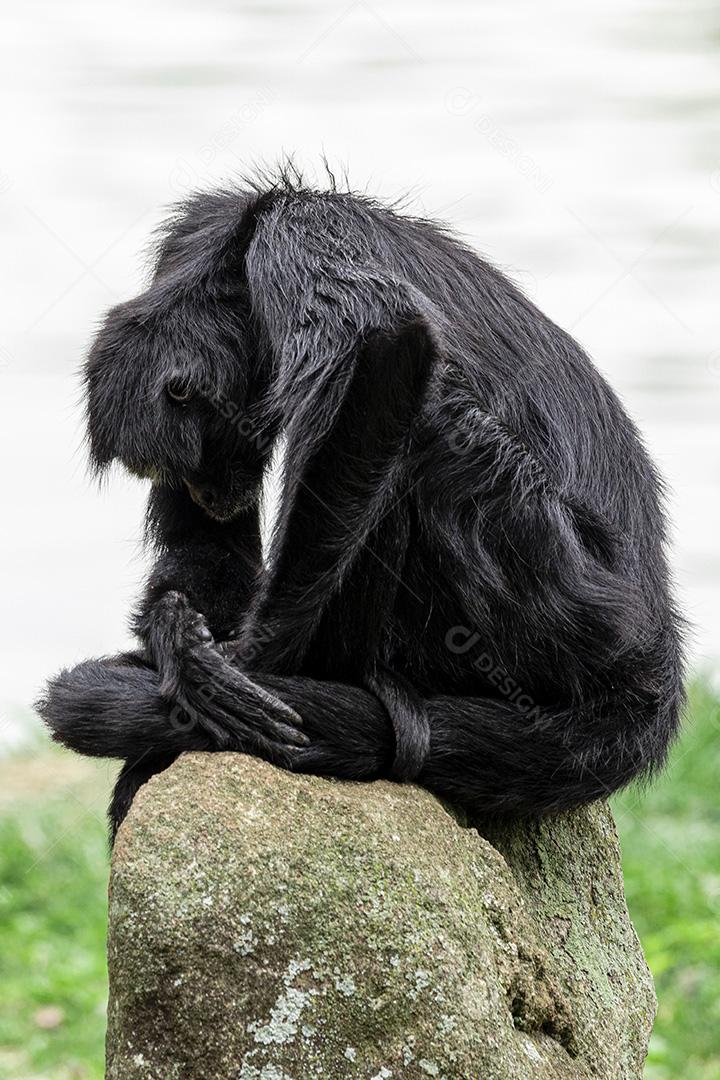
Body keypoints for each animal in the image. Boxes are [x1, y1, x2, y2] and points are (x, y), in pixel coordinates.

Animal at [37, 168, 685, 843]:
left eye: (189, 470)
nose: (209, 497)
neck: (233, 250)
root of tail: (653, 658)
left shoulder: (298, 240)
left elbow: (388, 348)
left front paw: (250, 661)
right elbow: (204, 549)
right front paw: (177, 641)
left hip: (557, 599)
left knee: (429, 410)